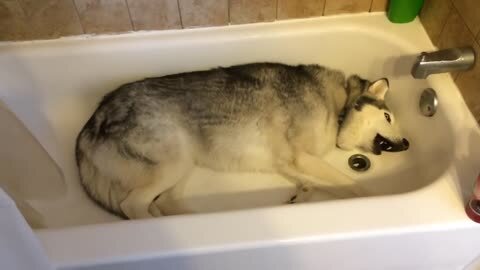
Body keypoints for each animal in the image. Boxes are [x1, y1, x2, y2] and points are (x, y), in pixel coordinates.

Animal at [75, 63, 408, 219]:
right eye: (388, 117)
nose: (406, 144)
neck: (336, 106)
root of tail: (92, 122)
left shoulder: (288, 163)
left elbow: (312, 185)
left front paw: (300, 196)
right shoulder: (301, 158)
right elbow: (353, 185)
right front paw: (371, 199)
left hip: (184, 166)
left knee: (164, 203)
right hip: (173, 164)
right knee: (133, 206)